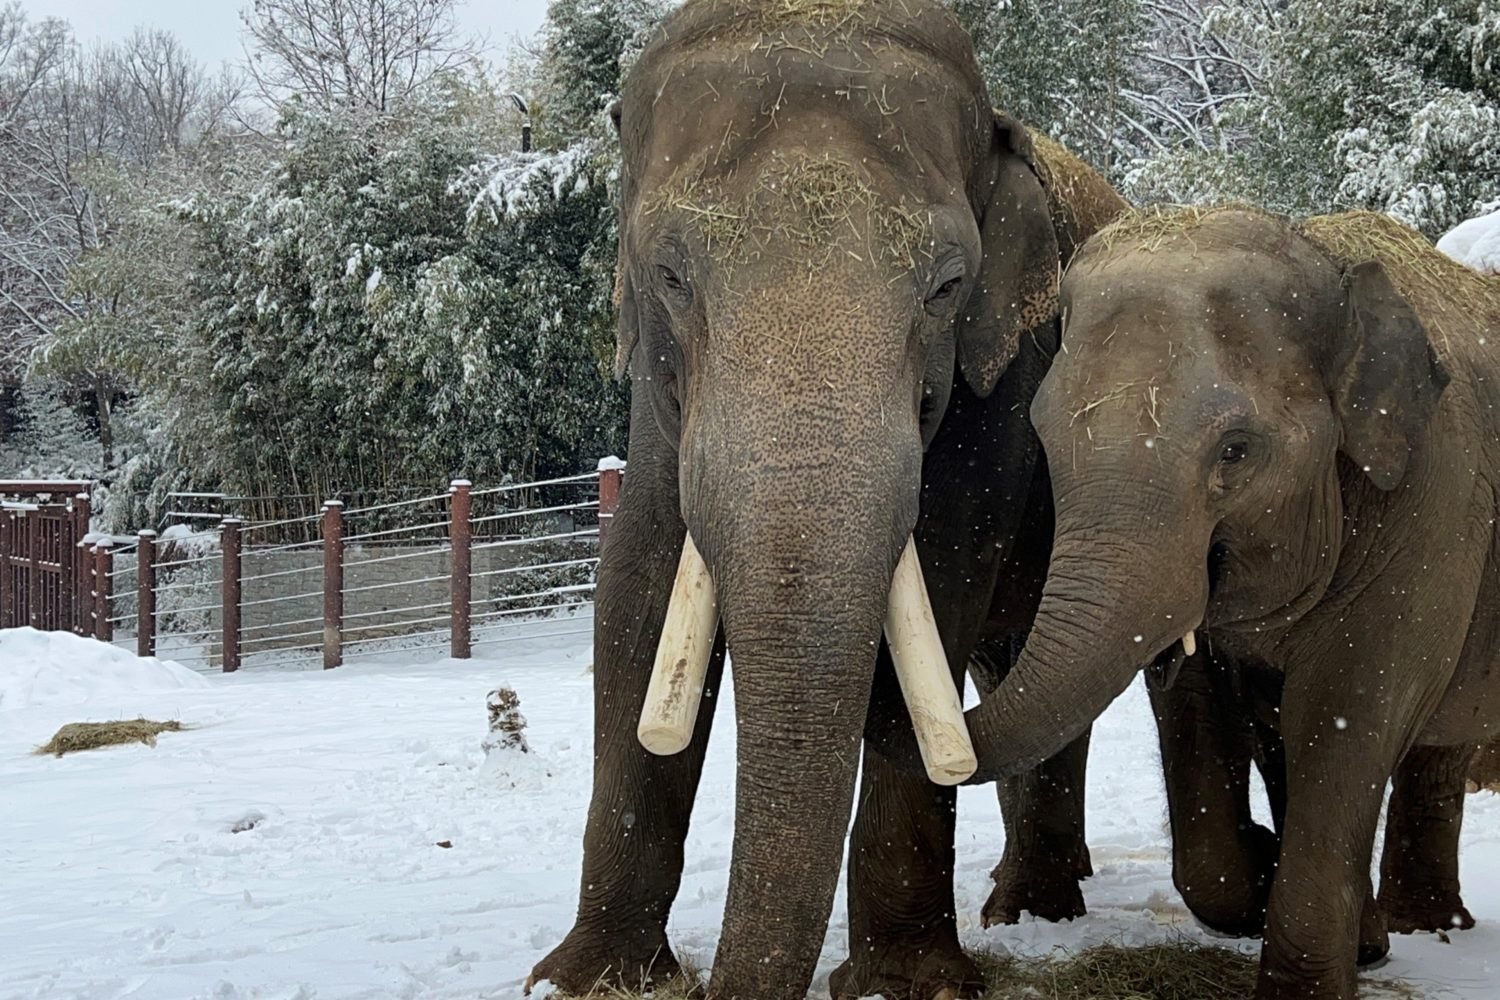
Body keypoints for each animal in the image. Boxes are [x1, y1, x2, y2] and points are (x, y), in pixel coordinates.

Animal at [528, 1, 1128, 1000]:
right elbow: (636, 595)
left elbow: (939, 586)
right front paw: (587, 979)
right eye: (670, 276)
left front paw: (906, 982)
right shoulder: (656, 404)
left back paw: (1034, 911)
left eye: (948, 285)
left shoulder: (996, 394)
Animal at [948, 205, 1500, 1000]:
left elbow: (1346, 710)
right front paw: (1262, 871)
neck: (1325, 261)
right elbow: (1200, 702)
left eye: (1236, 452)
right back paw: (1406, 931)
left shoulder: (1437, 502)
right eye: (1043, 439)